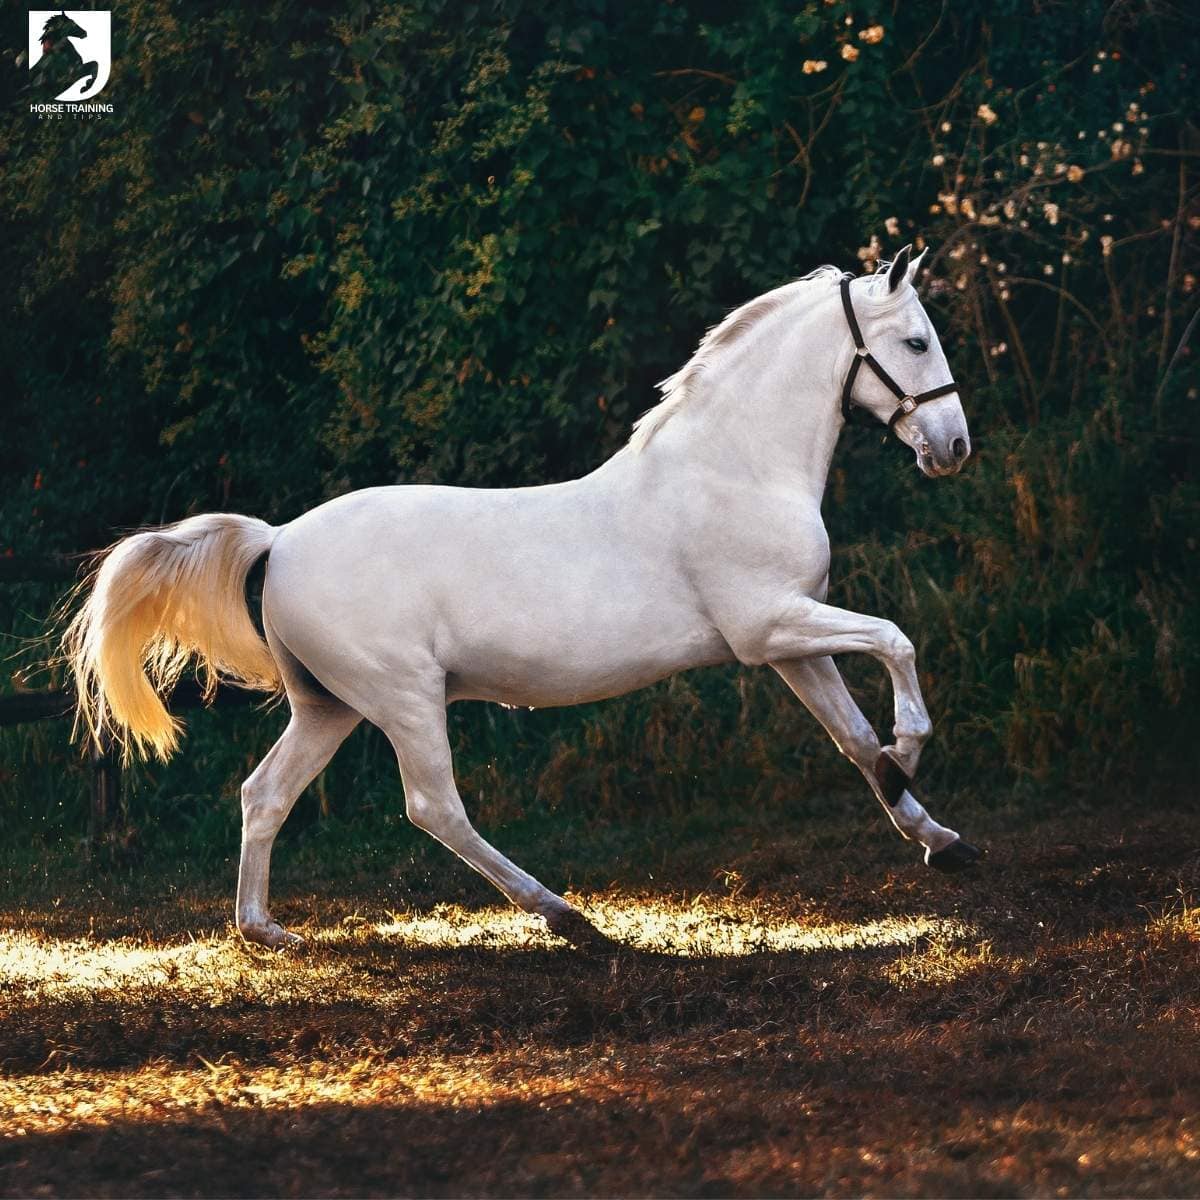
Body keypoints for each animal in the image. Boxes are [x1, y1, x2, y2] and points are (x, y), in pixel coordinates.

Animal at [64, 244, 980, 950]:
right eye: (915, 341)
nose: (954, 447)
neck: (735, 469)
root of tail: (280, 540)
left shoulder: (792, 643)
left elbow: (853, 740)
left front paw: (937, 836)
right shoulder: (771, 628)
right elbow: (895, 642)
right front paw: (911, 749)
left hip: (329, 706)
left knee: (265, 794)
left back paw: (265, 930)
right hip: (403, 698)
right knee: (434, 807)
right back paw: (564, 914)